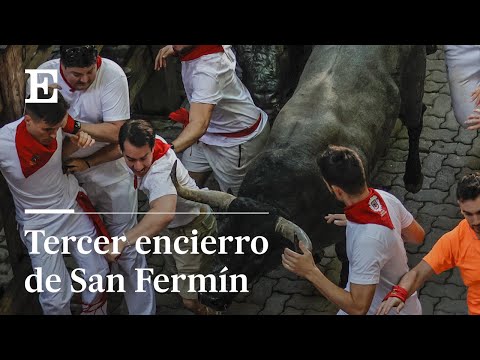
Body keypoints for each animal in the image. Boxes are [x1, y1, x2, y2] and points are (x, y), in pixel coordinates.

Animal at [171, 44, 426, 310]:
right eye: (220, 240)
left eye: (256, 253)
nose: (211, 298)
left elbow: (346, 255)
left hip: (414, 81)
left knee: (416, 121)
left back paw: (413, 177)